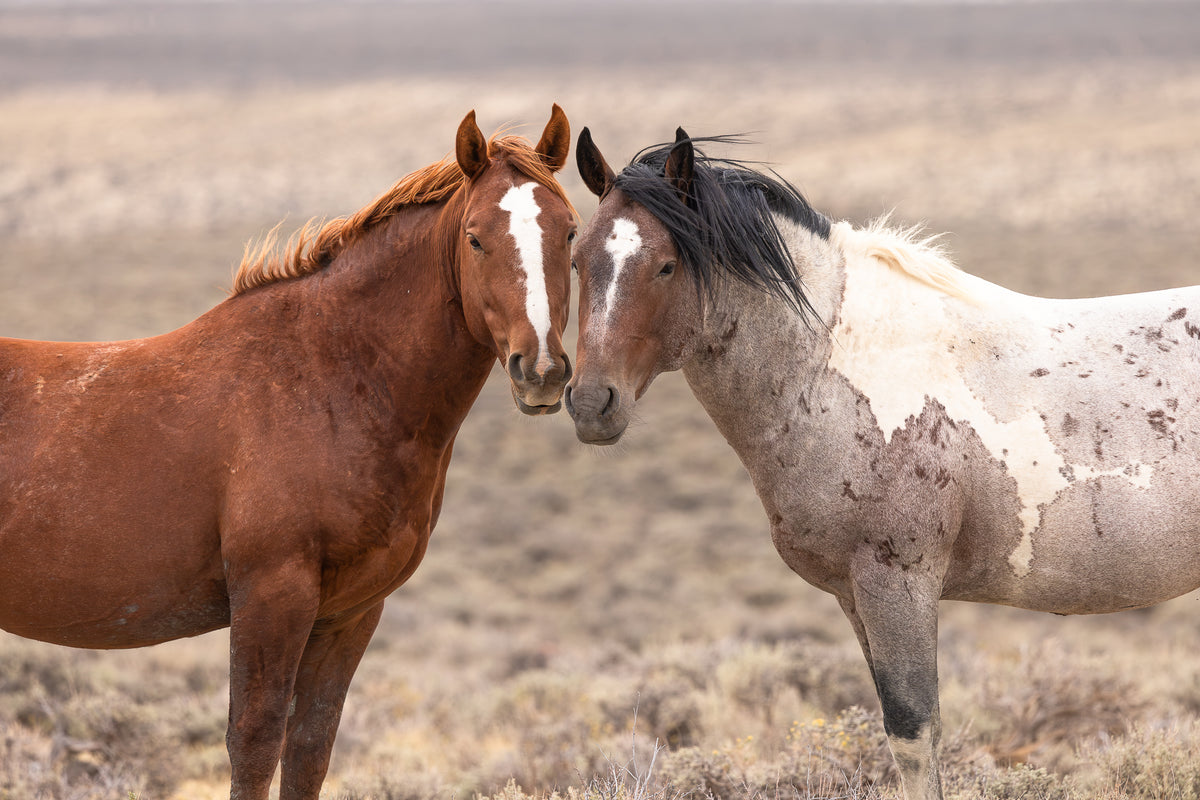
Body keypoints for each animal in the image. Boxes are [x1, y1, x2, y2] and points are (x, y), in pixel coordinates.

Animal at [0, 105, 575, 800]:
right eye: (475, 238)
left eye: (571, 233)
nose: (540, 370)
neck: (331, 377)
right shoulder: (273, 597)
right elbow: (255, 743)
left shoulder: (350, 613)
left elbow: (309, 747)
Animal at [565, 126, 1200, 800]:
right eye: (577, 259)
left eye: (666, 264)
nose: (591, 402)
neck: (831, 363)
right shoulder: (855, 596)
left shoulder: (898, 584)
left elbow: (914, 735)